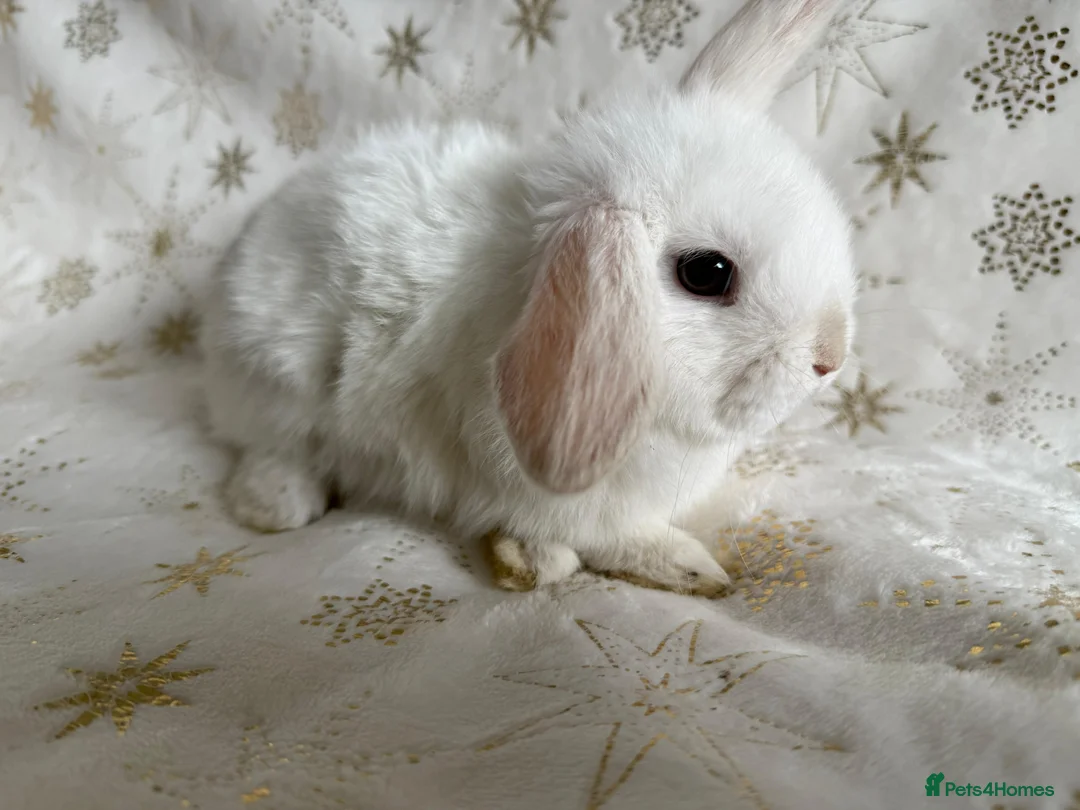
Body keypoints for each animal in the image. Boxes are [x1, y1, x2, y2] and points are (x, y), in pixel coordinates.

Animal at [200, 0, 856, 596]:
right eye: (707, 273)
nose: (830, 358)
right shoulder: (550, 489)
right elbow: (609, 539)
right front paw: (690, 568)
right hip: (280, 382)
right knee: (267, 447)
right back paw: (278, 504)